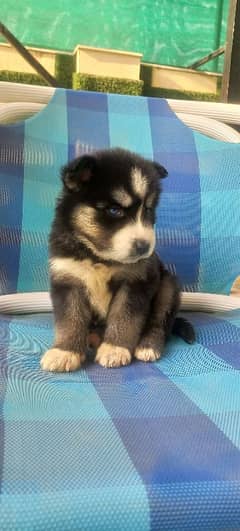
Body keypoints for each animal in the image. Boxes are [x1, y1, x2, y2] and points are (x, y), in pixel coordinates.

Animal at [40, 145, 195, 372]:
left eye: (148, 209)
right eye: (115, 210)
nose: (144, 246)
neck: (98, 257)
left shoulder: (136, 281)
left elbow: (125, 317)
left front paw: (115, 348)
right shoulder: (68, 279)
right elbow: (70, 319)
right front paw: (65, 352)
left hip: (168, 286)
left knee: (159, 322)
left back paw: (148, 346)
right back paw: (92, 338)